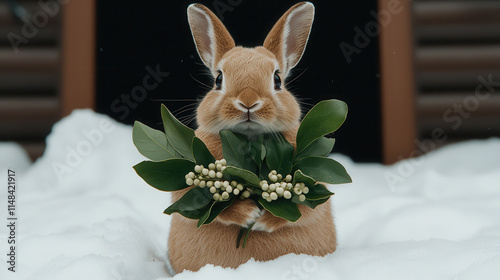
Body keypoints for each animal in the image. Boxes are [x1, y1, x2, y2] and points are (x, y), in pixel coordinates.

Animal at [168, 1, 336, 274]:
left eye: (277, 79)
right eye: (218, 79)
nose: (248, 102)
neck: (249, 142)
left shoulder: (315, 185)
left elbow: (305, 209)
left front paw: (263, 221)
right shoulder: (186, 187)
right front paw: (248, 215)